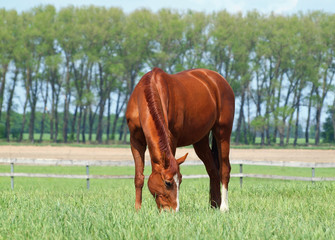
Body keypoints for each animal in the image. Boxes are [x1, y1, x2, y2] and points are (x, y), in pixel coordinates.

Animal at [126, 67, 236, 212]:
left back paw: (223, 207)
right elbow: (139, 177)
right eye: (168, 183)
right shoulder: (135, 141)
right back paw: (214, 206)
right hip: (201, 141)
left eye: (181, 180)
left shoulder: (172, 139)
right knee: (212, 170)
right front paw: (137, 209)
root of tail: (219, 80)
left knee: (224, 169)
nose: (173, 210)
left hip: (223, 133)